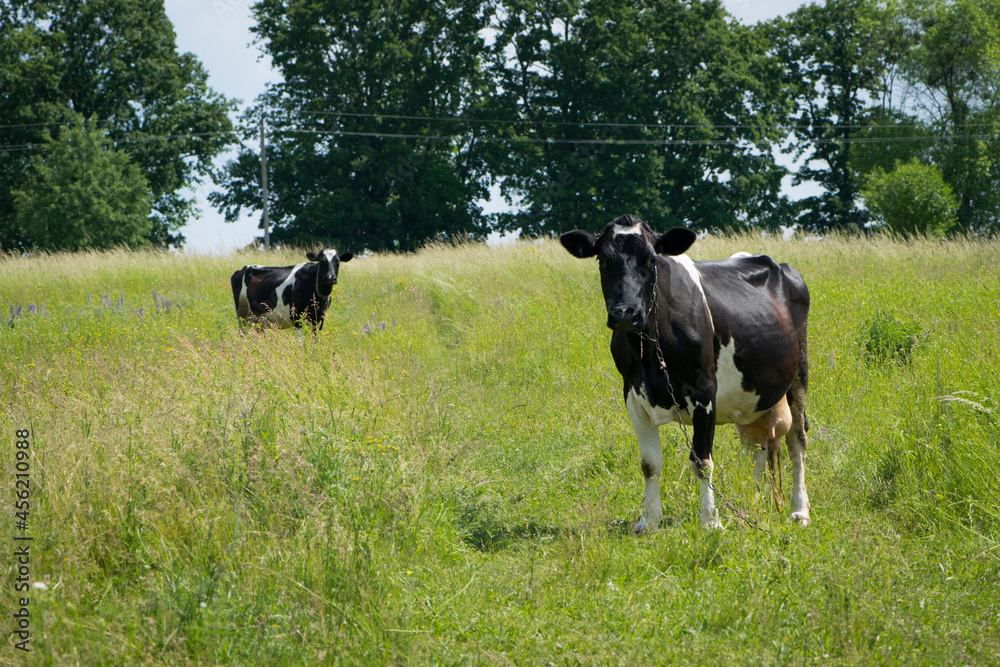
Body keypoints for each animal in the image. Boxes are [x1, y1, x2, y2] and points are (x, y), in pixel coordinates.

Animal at [564, 217, 812, 536]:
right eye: (603, 260)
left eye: (651, 259)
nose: (625, 315)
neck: (649, 351)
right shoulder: (632, 395)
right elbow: (649, 464)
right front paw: (648, 521)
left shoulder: (703, 393)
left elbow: (701, 461)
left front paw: (710, 521)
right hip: (752, 398)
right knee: (758, 447)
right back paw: (752, 506)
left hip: (798, 376)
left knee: (797, 441)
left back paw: (799, 510)